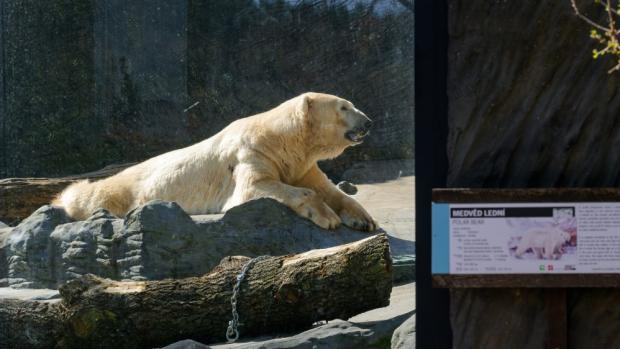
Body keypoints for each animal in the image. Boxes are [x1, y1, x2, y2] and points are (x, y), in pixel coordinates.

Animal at [54, 91, 378, 230]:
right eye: (344, 107)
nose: (369, 122)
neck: (282, 138)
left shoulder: (300, 164)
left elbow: (326, 188)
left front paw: (364, 219)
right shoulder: (252, 153)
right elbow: (256, 187)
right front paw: (327, 217)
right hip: (123, 187)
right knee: (92, 194)